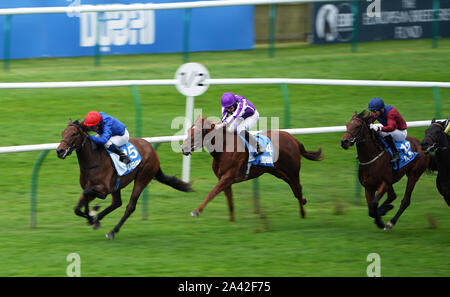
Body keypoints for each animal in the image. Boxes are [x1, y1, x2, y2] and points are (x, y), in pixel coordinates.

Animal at [55, 119, 192, 237]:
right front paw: (91, 217)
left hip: (142, 178)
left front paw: (92, 215)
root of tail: (152, 150)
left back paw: (112, 231)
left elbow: (86, 192)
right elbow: (78, 208)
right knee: (117, 203)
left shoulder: (103, 190)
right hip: (118, 185)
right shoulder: (97, 189)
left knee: (130, 207)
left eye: (73, 134)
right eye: (62, 132)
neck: (93, 161)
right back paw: (99, 219)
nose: (59, 151)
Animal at [179, 115, 324, 222]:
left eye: (198, 133)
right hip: (277, 171)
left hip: (293, 170)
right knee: (294, 188)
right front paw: (231, 222)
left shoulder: (228, 177)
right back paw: (303, 201)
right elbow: (230, 201)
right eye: (188, 131)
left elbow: (212, 193)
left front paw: (196, 211)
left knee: (298, 188)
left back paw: (303, 214)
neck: (223, 149)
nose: (183, 148)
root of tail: (293, 139)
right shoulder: (224, 179)